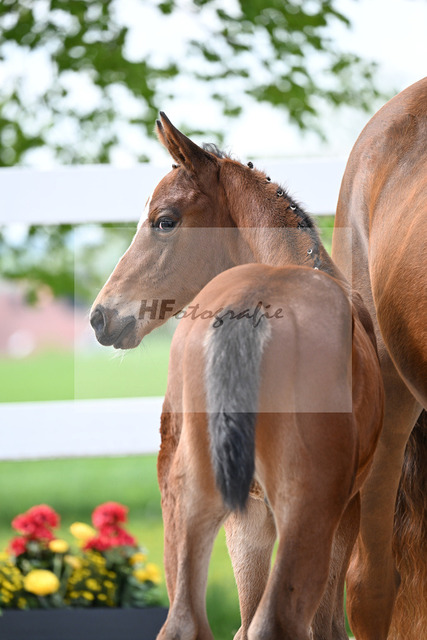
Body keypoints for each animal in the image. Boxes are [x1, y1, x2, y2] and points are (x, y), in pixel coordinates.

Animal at [153, 262, 383, 640]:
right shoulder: (347, 509)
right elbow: (327, 624)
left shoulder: (248, 521)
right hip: (310, 507)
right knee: (277, 621)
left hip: (187, 507)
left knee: (184, 623)